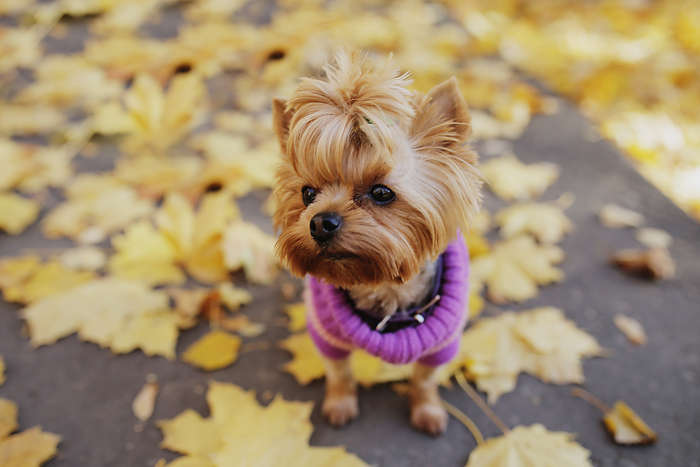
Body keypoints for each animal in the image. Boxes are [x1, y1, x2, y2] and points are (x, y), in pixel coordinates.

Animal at [274, 53, 482, 436]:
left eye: (382, 192)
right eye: (307, 193)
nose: (320, 223)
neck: (385, 287)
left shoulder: (441, 345)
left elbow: (425, 379)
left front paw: (427, 410)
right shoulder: (328, 335)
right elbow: (340, 373)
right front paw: (340, 405)